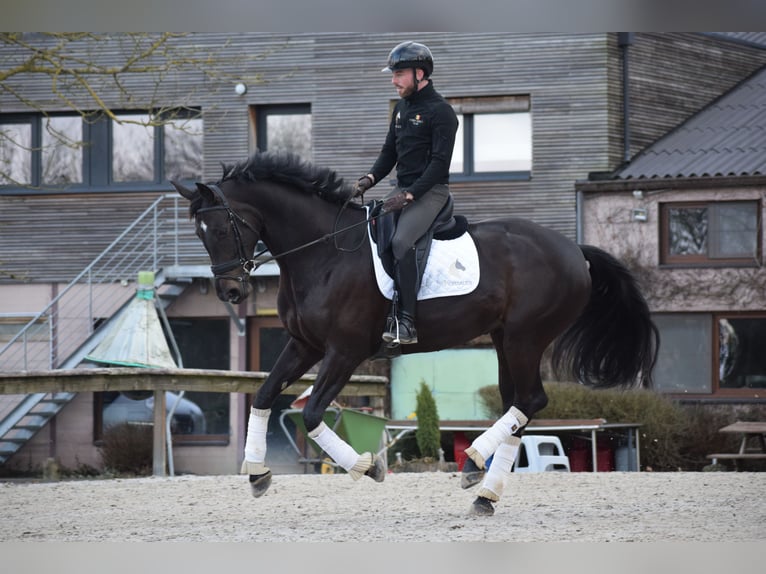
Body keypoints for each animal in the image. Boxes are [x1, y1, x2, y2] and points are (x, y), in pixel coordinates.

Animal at [172, 151, 660, 520]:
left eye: (221, 228)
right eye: (198, 233)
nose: (231, 291)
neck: (323, 252)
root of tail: (575, 250)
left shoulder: (345, 351)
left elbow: (310, 413)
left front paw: (365, 467)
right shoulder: (304, 344)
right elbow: (264, 394)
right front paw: (257, 473)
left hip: (525, 337)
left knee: (532, 400)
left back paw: (473, 460)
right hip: (504, 339)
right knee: (519, 404)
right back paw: (484, 492)